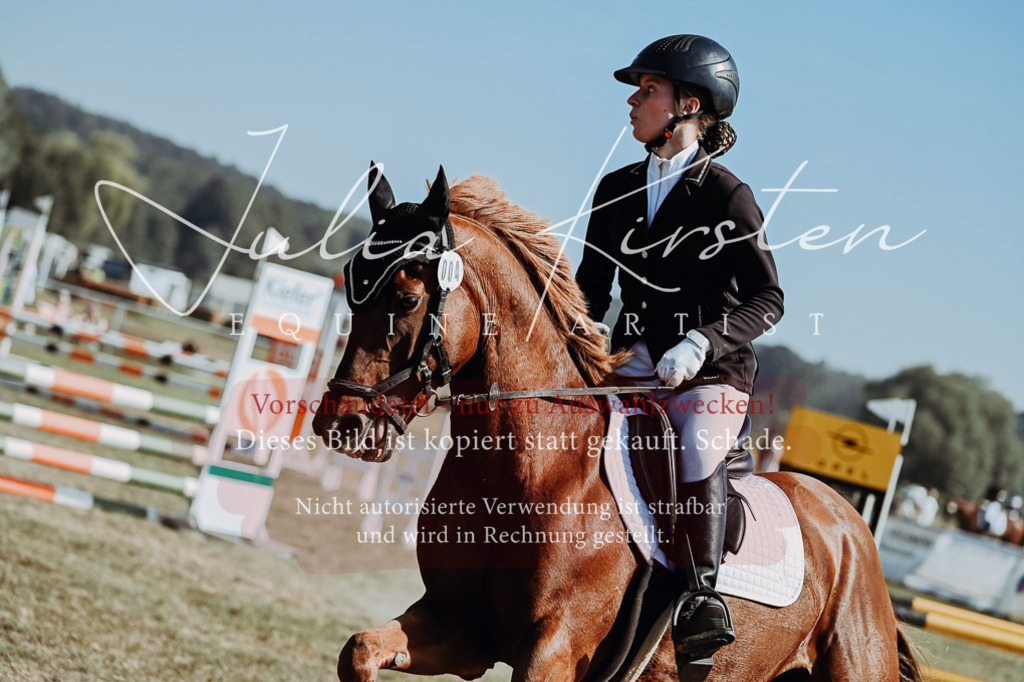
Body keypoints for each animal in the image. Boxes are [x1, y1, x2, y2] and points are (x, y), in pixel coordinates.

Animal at [312, 165, 923, 682]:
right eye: (349, 284)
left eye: (406, 298)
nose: (341, 425)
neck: (534, 470)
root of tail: (849, 524)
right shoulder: (458, 629)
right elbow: (357, 651)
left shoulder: (553, 653)